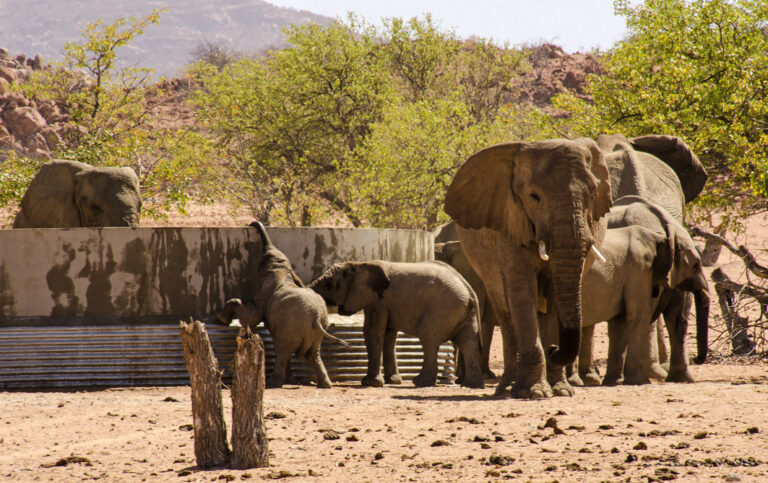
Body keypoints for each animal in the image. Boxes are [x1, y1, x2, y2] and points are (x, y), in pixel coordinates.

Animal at [218, 223, 346, 390]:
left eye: (262, 258)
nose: (251, 224)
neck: (283, 268)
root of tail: (316, 318)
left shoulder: (265, 294)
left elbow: (251, 317)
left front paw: (221, 320)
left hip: (293, 326)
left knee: (282, 351)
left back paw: (273, 383)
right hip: (314, 330)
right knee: (311, 353)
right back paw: (324, 385)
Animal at [308, 260, 484, 390]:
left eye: (329, 284)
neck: (358, 263)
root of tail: (469, 290)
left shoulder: (378, 301)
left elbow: (372, 331)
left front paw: (370, 383)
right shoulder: (386, 304)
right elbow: (389, 335)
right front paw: (393, 381)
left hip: (443, 307)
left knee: (429, 337)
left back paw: (419, 382)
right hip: (463, 310)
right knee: (468, 342)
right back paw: (472, 385)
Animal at [444, 138, 612, 398]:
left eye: (592, 194)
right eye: (534, 197)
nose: (554, 349)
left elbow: (554, 295)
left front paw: (560, 390)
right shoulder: (509, 220)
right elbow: (522, 291)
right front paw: (533, 392)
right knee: (506, 312)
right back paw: (506, 388)